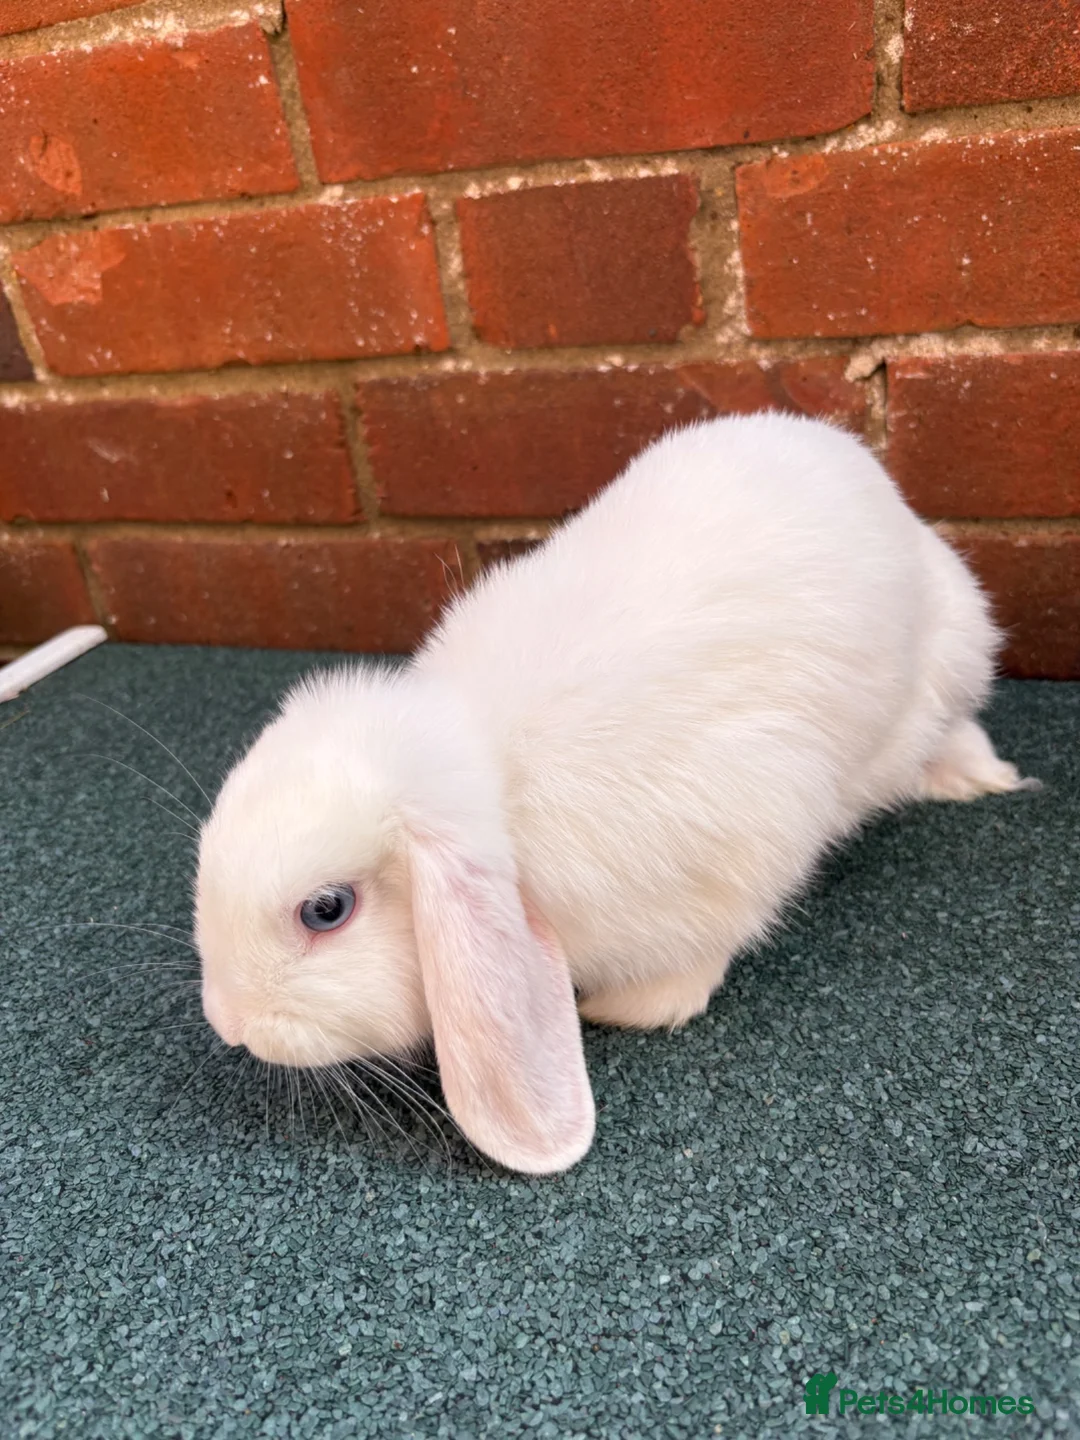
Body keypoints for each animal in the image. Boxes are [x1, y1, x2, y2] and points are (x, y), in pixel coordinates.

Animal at [195, 412, 1034, 1176]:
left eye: (326, 910)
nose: (230, 1023)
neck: (499, 783)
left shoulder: (737, 848)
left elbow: (702, 959)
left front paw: (621, 1009)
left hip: (955, 656)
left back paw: (979, 777)